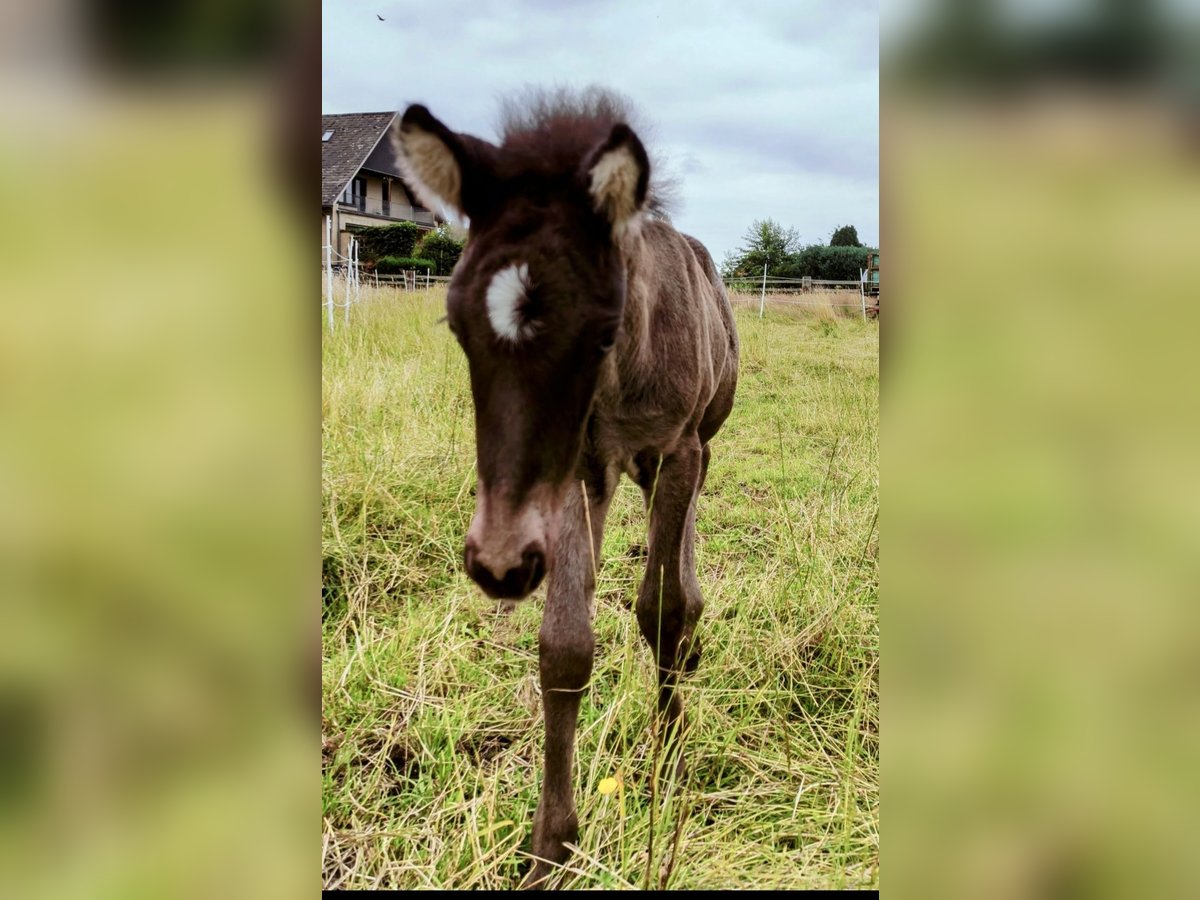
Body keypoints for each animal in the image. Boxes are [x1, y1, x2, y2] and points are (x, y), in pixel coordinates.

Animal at [393, 88, 734, 892]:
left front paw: (671, 748)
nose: (498, 563)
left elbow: (659, 606)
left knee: (682, 546)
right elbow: (565, 648)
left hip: (696, 446)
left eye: (603, 331)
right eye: (455, 325)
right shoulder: (578, 470)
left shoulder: (674, 451)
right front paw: (551, 845)